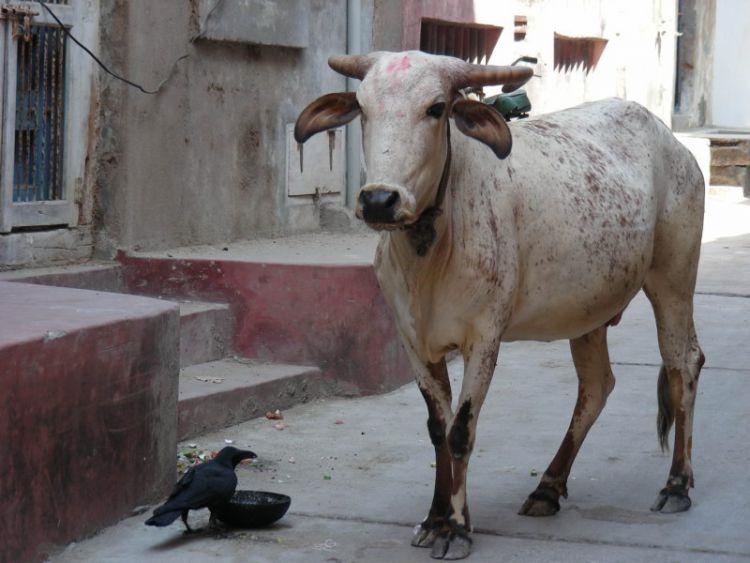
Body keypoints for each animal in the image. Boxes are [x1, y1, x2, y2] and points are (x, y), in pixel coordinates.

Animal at [295, 51, 705, 560]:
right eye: (364, 109)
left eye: (436, 109)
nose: (379, 200)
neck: (430, 251)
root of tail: (672, 141)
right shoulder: (414, 343)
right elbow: (438, 429)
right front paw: (435, 518)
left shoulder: (483, 339)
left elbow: (461, 431)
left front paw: (456, 528)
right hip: (588, 310)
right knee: (596, 387)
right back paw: (548, 487)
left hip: (673, 281)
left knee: (683, 364)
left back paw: (677, 484)